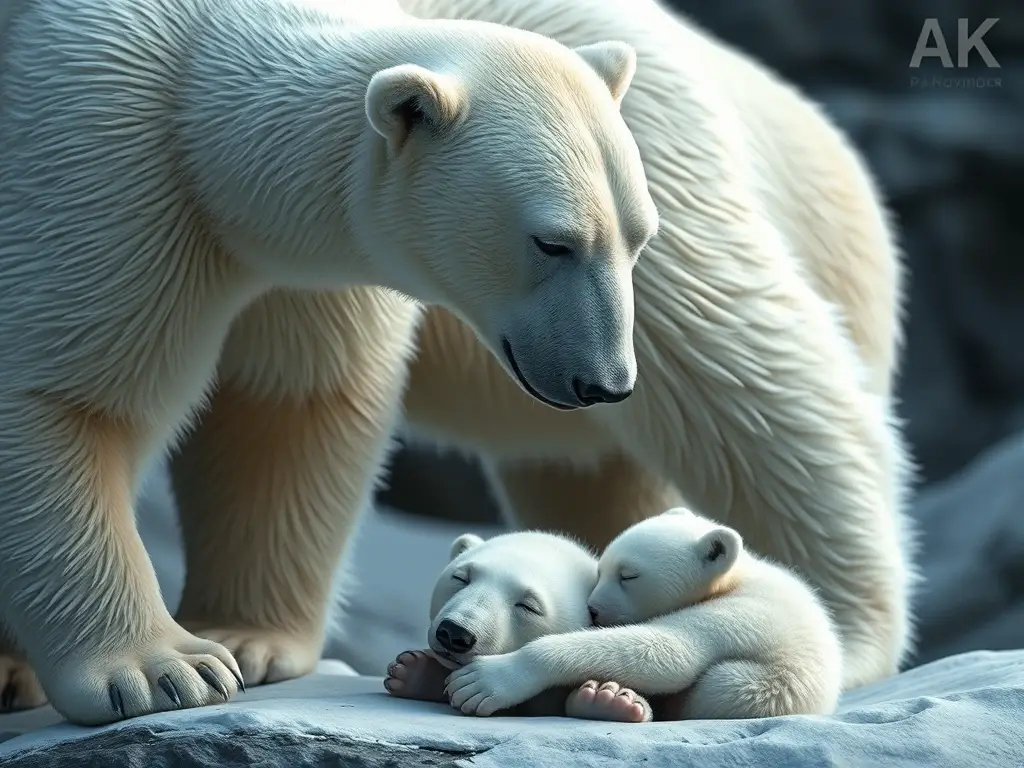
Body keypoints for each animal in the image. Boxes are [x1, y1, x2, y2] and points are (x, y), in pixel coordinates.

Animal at [445, 508, 843, 719]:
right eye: (601, 570)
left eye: (628, 575)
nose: (593, 609)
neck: (734, 579)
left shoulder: (742, 611)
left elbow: (667, 653)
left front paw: (485, 680)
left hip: (751, 687)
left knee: (718, 683)